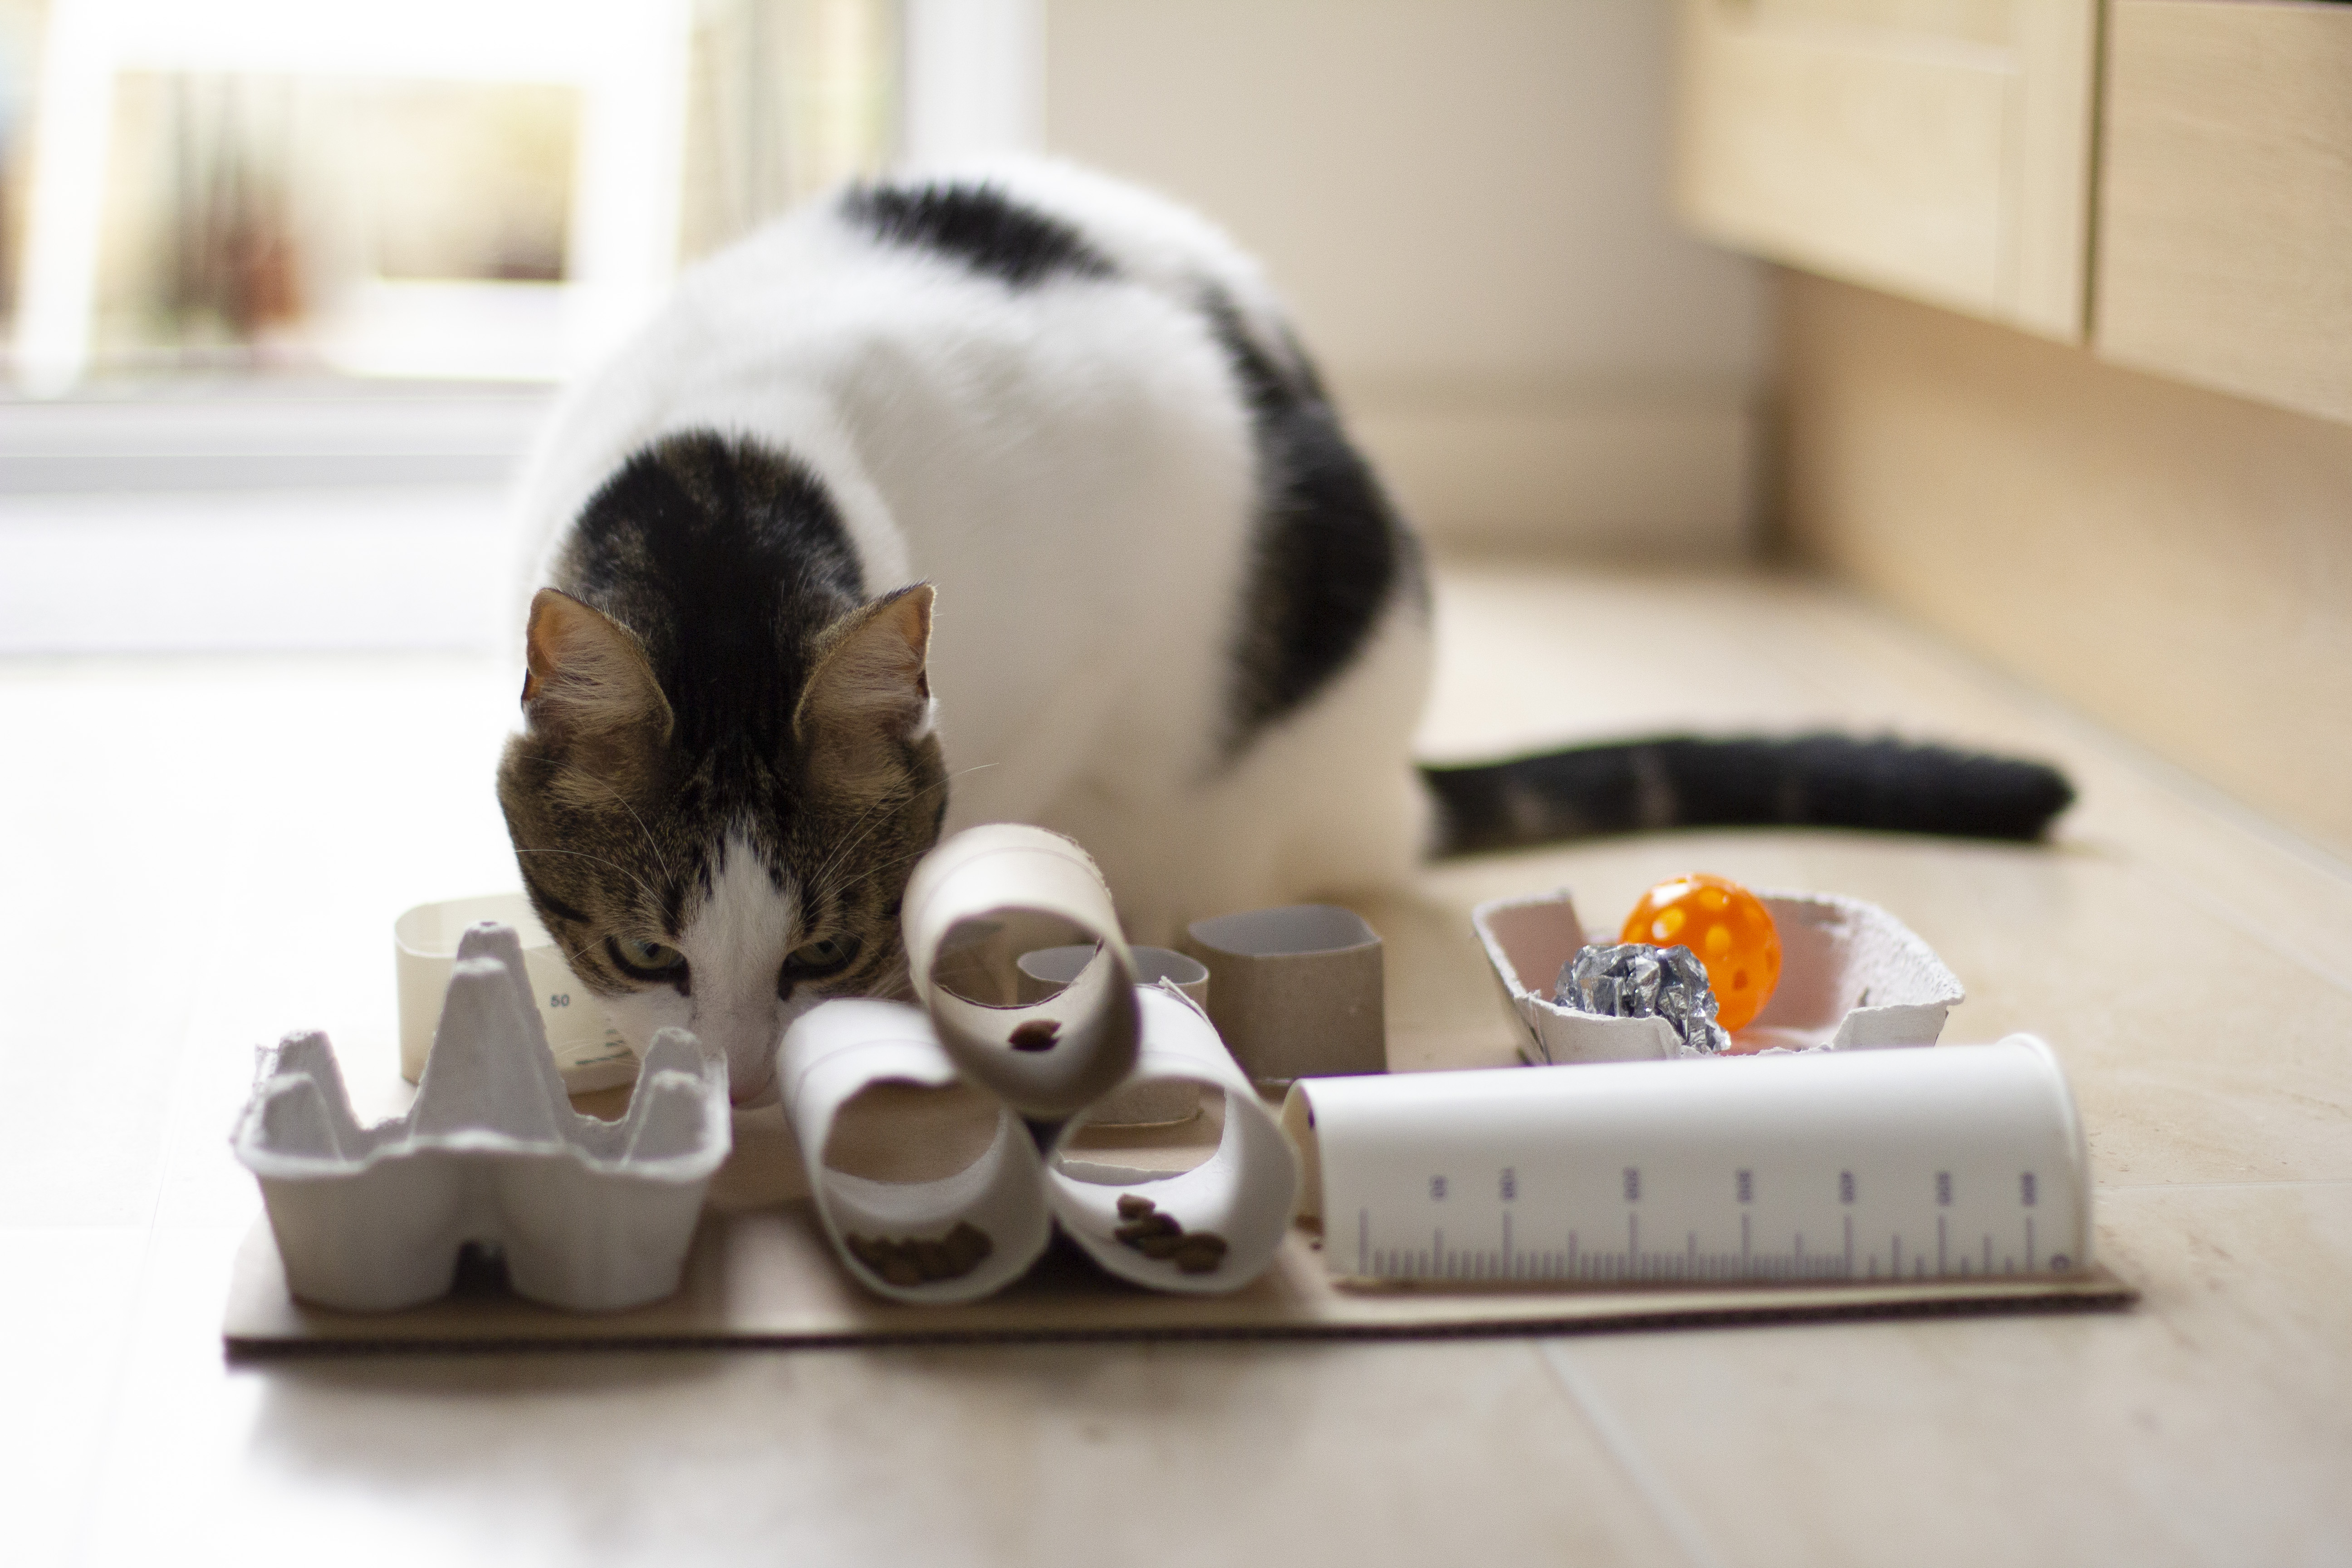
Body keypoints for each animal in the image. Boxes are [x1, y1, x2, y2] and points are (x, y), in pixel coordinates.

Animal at [491, 162, 2060, 1105]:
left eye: (821, 954)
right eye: (644, 957)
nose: (747, 1085)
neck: (736, 474)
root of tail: (1384, 789)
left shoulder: (1101, 621)